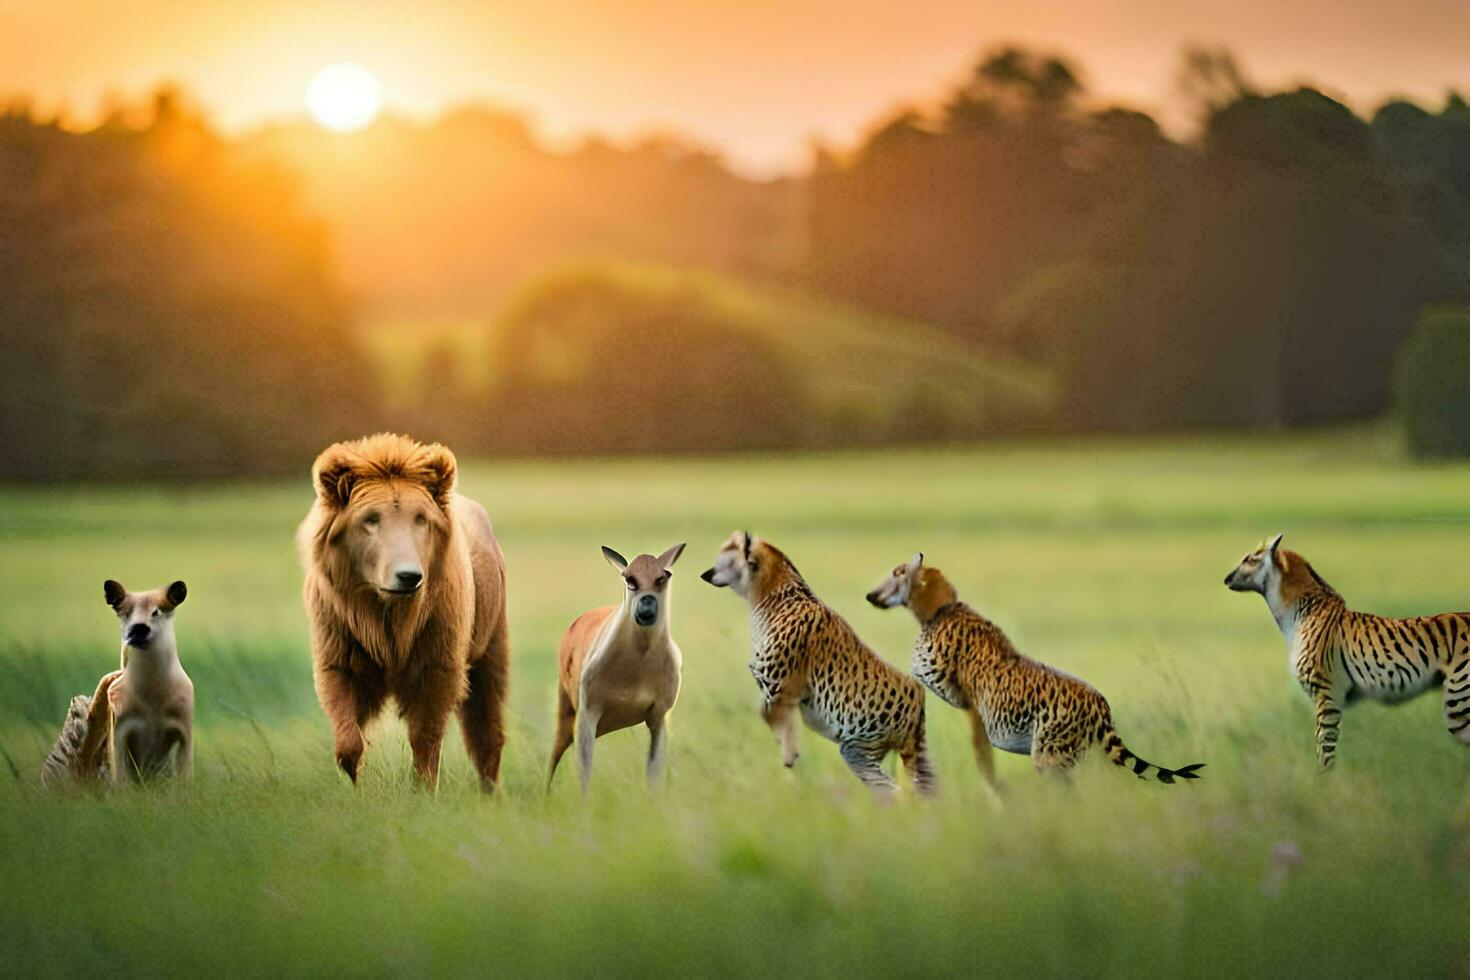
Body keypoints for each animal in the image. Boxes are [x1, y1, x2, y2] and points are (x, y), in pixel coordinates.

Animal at [295, 431, 508, 793]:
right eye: (370, 519)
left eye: (420, 518)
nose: (408, 575)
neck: (387, 612)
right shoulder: (341, 636)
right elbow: (343, 710)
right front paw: (353, 776)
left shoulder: (435, 646)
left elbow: (427, 729)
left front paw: (422, 786)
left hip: (489, 630)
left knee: (486, 709)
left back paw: (490, 787)